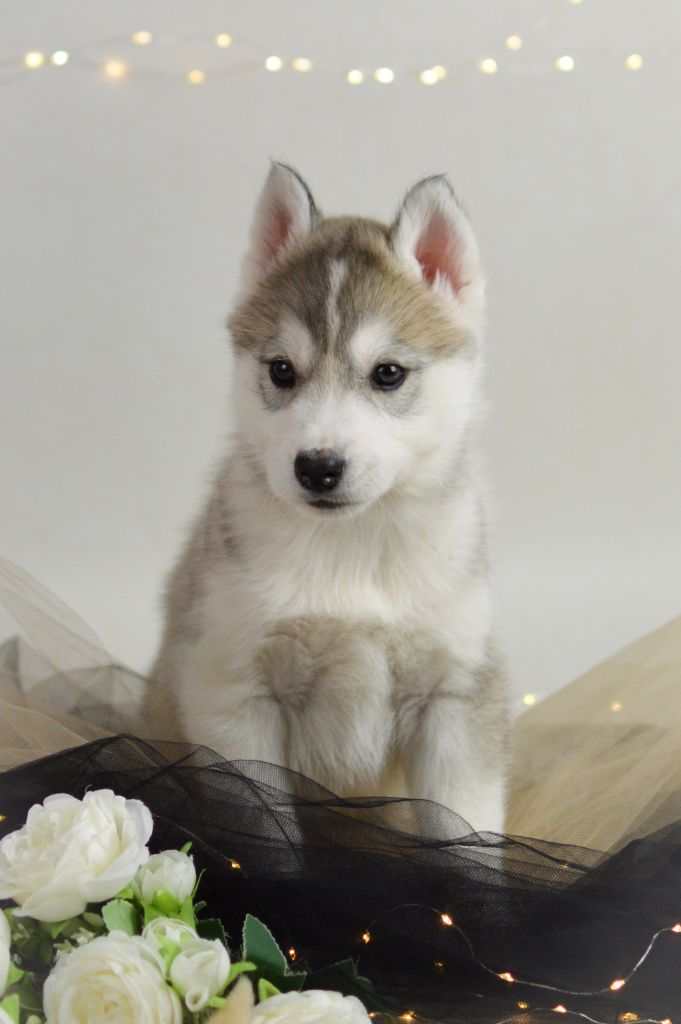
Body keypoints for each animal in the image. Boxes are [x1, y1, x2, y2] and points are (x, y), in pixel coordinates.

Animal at [148, 163, 509, 833]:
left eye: (388, 373)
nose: (318, 467)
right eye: (281, 370)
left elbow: (463, 831)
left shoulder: (457, 691)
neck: (351, 548)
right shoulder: (233, 692)